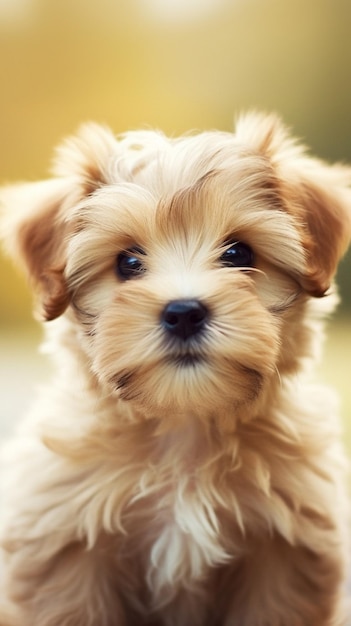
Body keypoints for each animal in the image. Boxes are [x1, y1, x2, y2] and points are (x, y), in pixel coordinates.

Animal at [0, 113, 351, 624]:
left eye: (239, 254)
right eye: (128, 262)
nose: (184, 312)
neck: (184, 426)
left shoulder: (282, 557)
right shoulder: (66, 548)